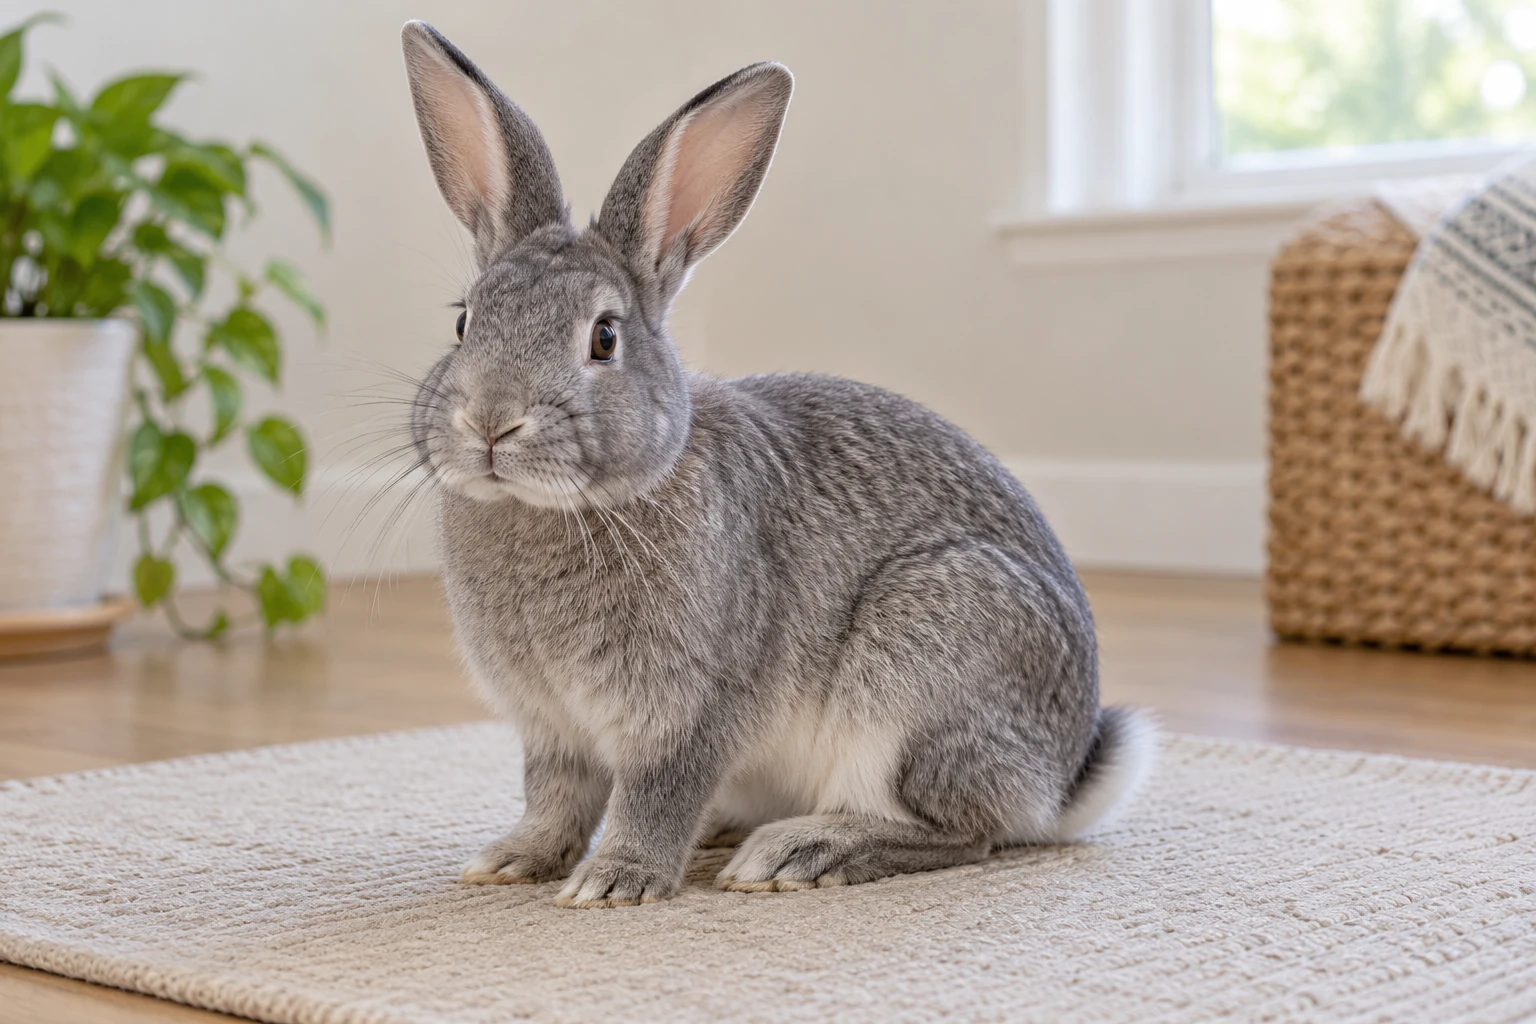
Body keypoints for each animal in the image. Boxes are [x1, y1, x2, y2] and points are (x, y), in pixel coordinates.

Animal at [399, 20, 1157, 909]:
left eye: (604, 337)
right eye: (464, 322)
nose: (490, 423)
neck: (561, 509)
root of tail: (1064, 778)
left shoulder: (689, 713)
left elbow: (654, 795)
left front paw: (617, 881)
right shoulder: (554, 730)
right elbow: (554, 797)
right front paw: (514, 859)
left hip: (921, 670)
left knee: (965, 833)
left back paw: (799, 852)